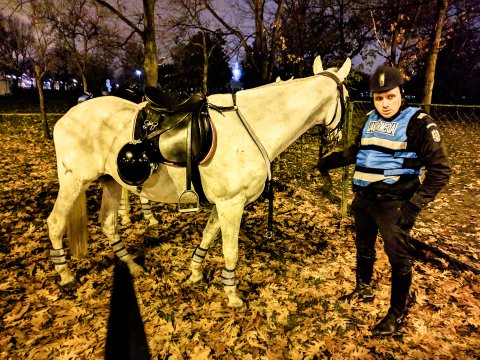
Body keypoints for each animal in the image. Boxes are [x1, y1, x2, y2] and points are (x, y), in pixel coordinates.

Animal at [47, 56, 348, 306]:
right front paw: (232, 296)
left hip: (110, 181)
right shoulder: (231, 204)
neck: (250, 126)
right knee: (56, 222)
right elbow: (230, 250)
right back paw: (65, 274)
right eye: (347, 95)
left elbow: (208, 234)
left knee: (108, 224)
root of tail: (66, 118)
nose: (337, 138)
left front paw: (195, 272)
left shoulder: (224, 204)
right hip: (74, 182)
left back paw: (131, 265)